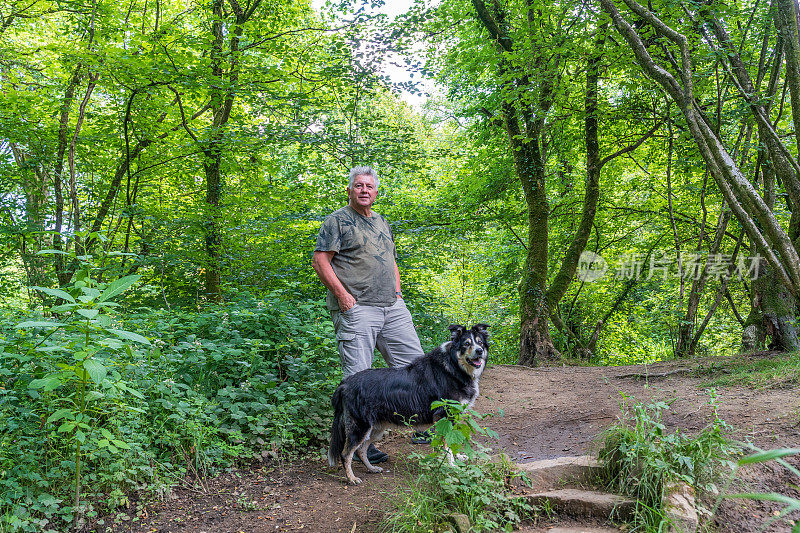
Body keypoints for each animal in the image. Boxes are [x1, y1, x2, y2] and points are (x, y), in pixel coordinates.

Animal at [326, 322, 488, 484]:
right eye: (466, 344)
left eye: (480, 342)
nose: (479, 351)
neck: (454, 366)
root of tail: (345, 384)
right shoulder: (444, 416)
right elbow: (447, 445)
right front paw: (452, 465)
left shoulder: (453, 417)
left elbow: (453, 440)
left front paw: (457, 457)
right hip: (360, 426)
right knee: (346, 453)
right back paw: (352, 478)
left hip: (376, 428)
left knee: (361, 450)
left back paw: (371, 468)